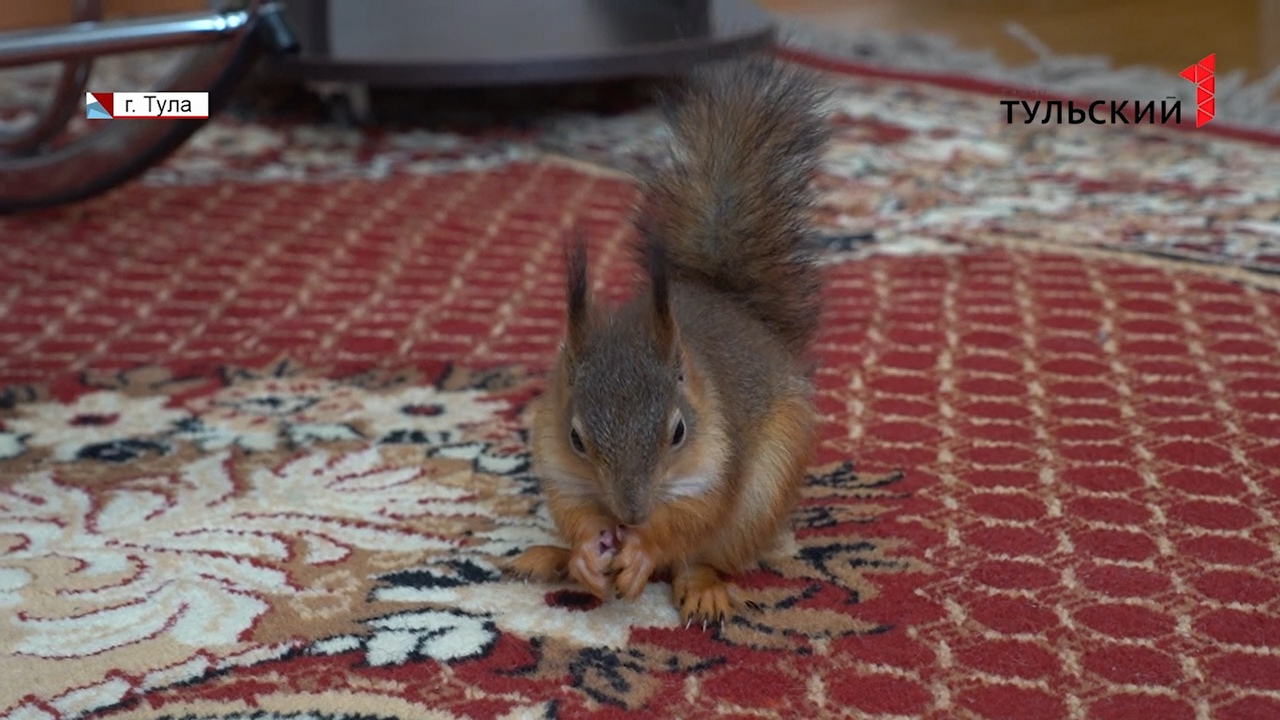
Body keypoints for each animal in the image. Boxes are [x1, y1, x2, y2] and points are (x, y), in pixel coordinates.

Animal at [504, 56, 834, 625]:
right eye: (576, 439)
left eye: (678, 431)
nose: (631, 513)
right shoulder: (558, 462)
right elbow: (574, 512)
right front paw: (587, 551)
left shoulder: (718, 462)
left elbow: (692, 518)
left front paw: (641, 551)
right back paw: (553, 558)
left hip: (764, 494)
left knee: (701, 558)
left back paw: (702, 590)